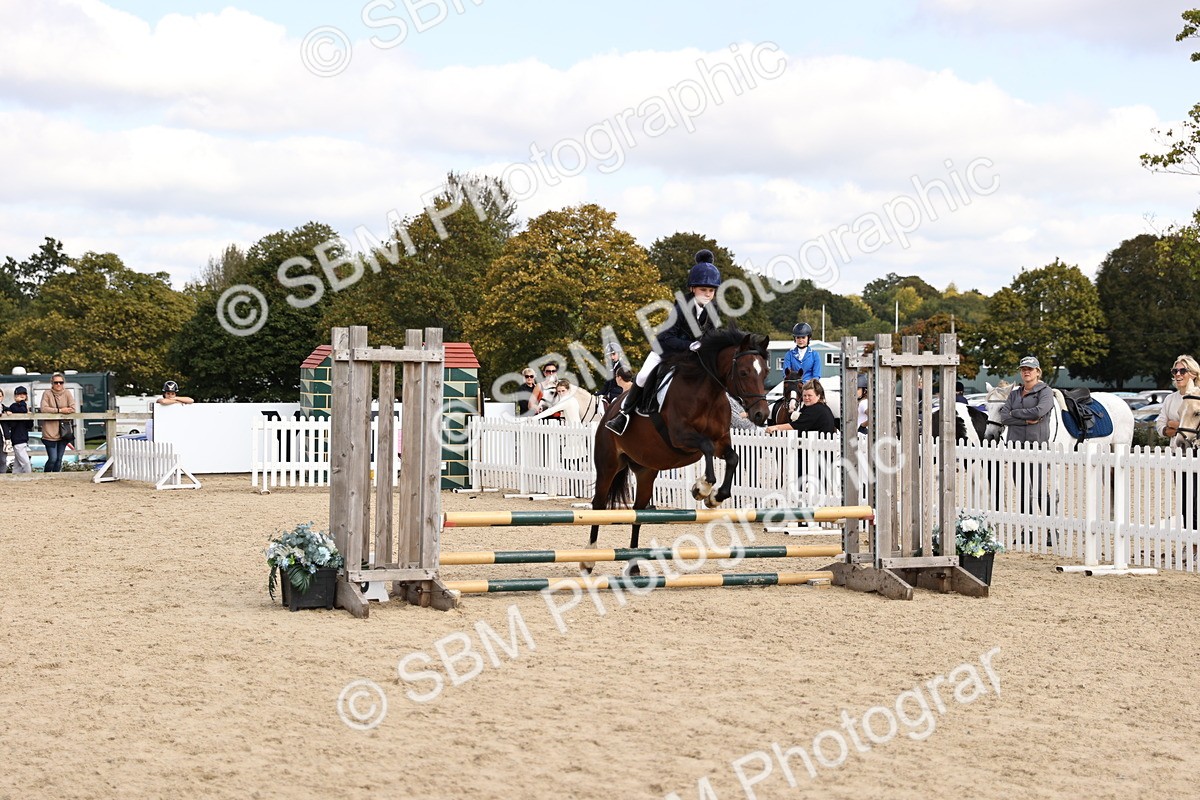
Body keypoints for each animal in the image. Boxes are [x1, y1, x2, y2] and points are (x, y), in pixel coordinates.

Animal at [588, 326, 772, 569]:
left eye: (765, 373)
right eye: (743, 372)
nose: (761, 415)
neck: (707, 393)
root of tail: (608, 411)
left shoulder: (721, 441)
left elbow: (733, 458)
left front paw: (715, 497)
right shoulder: (680, 437)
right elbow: (706, 447)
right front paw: (702, 488)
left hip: (645, 472)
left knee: (638, 513)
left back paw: (634, 566)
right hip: (608, 465)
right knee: (598, 505)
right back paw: (588, 560)